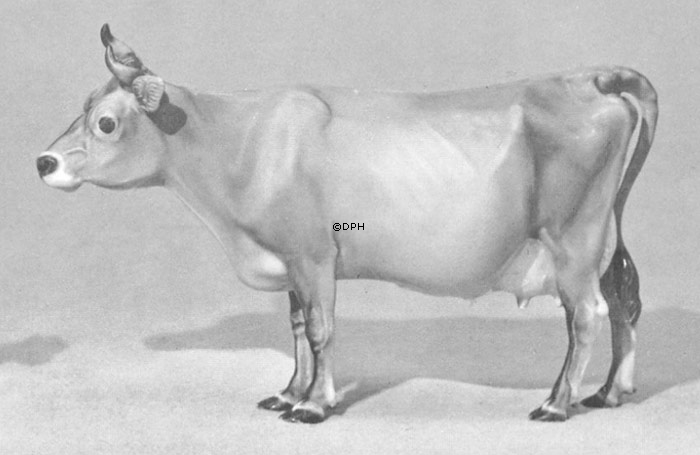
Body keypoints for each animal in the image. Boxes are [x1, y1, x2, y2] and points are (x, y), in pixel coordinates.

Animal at [37, 24, 658, 424]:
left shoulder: (314, 255)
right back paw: (610, 392)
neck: (240, 139)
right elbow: (295, 329)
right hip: (603, 236)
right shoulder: (289, 261)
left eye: (106, 122)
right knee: (623, 298)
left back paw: (558, 403)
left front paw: (315, 405)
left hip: (573, 241)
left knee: (586, 315)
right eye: (82, 107)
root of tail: (590, 78)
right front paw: (288, 393)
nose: (44, 162)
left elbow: (320, 330)